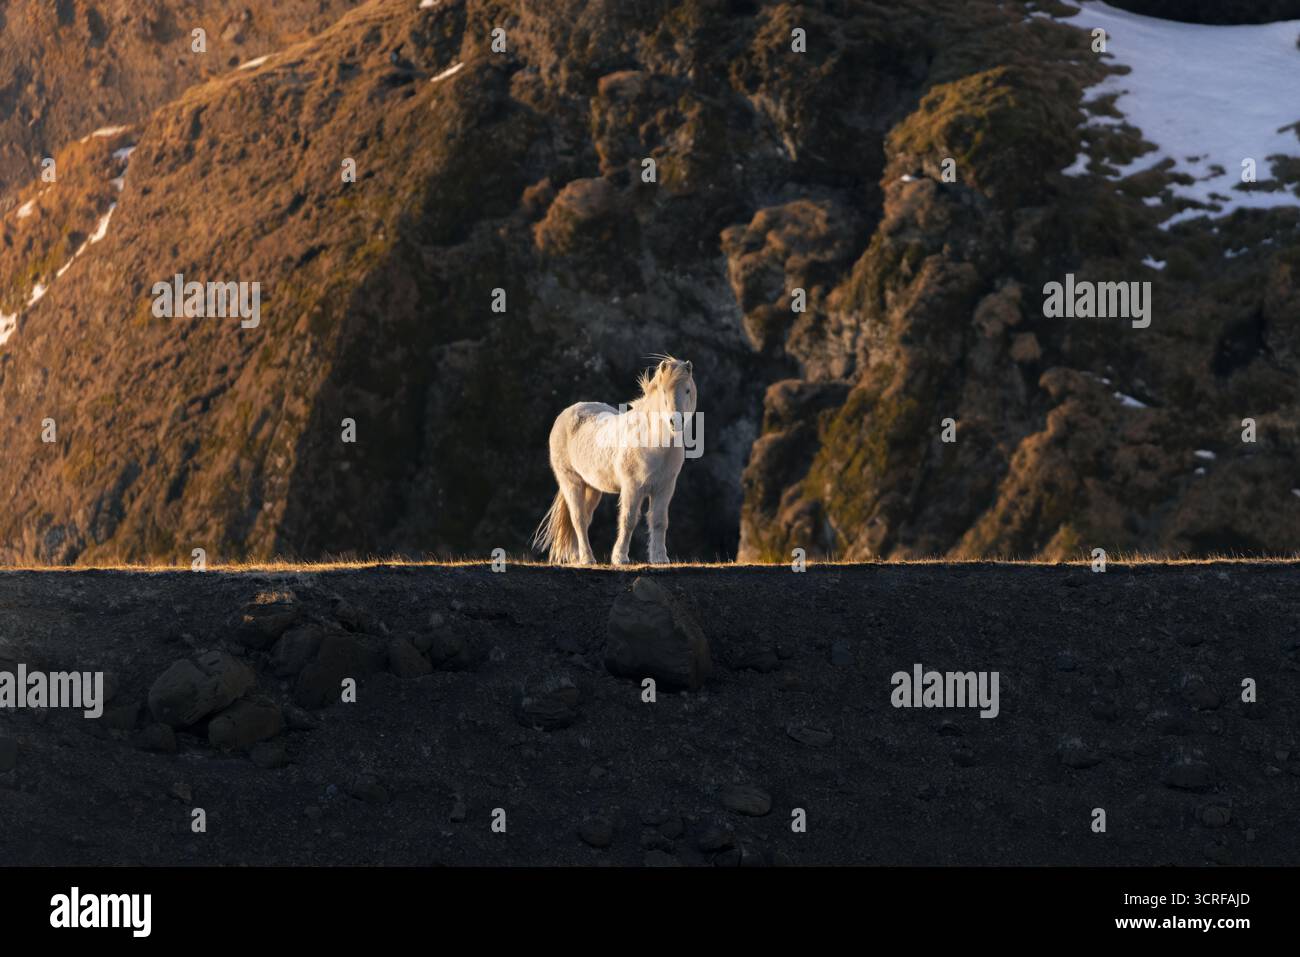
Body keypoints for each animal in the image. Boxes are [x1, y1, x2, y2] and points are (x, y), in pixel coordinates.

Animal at [532, 356, 697, 565]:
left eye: (687, 390)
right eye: (663, 391)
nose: (675, 421)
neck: (655, 443)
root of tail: (567, 413)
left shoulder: (664, 488)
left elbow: (659, 521)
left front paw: (660, 558)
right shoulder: (632, 487)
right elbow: (628, 520)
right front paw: (620, 558)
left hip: (592, 487)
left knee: (585, 519)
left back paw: (578, 557)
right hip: (571, 482)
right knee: (578, 519)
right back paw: (587, 559)